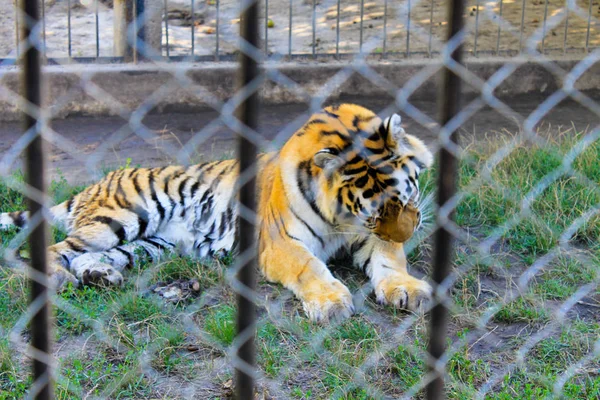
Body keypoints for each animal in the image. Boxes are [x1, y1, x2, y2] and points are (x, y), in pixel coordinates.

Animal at [0, 103, 432, 322]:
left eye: (404, 191)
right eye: (373, 207)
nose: (410, 231)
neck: (343, 220)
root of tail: (96, 183)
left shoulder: (372, 237)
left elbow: (391, 261)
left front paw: (408, 290)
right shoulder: (281, 244)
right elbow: (309, 267)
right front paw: (330, 302)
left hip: (149, 243)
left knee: (91, 256)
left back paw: (100, 276)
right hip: (119, 219)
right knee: (57, 249)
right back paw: (61, 278)